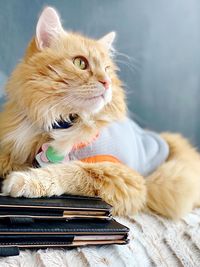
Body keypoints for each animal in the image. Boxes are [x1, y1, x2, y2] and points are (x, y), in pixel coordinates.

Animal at [0, 6, 200, 220]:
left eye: (107, 69)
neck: (62, 121)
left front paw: (24, 180)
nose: (107, 82)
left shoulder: (124, 177)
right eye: (80, 63)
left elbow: (71, 171)